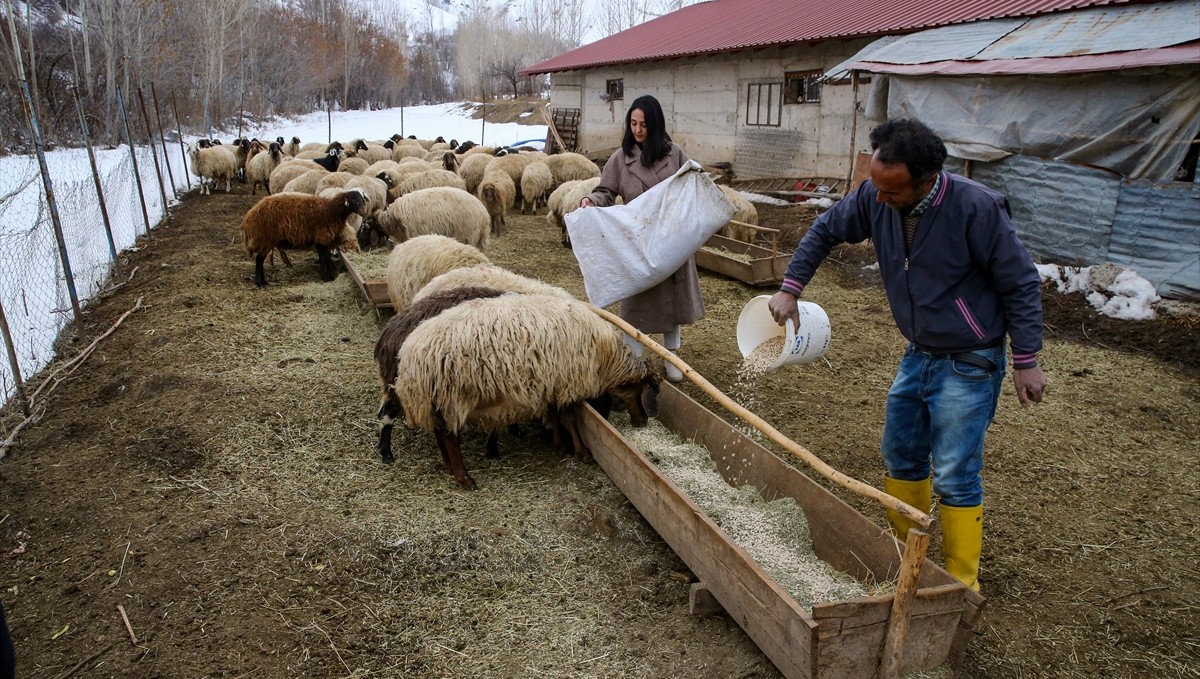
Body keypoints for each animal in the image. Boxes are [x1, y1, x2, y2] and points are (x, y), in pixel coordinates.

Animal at [391, 292, 657, 489]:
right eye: (640, 391)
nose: (643, 421)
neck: (606, 358)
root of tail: (410, 355)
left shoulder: (552, 384)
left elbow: (554, 416)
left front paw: (559, 445)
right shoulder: (569, 383)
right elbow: (569, 419)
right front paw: (582, 452)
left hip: (436, 398)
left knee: (439, 432)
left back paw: (447, 464)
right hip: (453, 395)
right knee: (450, 437)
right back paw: (464, 477)